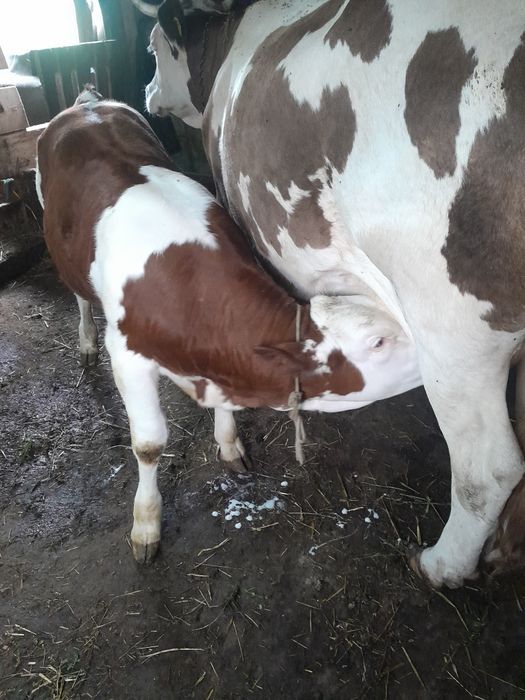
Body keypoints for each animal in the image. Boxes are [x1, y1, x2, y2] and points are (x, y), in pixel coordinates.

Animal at [36, 94, 419, 563]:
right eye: (378, 342)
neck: (193, 292)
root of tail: (88, 101)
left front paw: (229, 444)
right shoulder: (127, 357)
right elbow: (148, 445)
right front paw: (145, 524)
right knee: (80, 297)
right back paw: (86, 340)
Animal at [137, 0, 525, 588]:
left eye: (154, 45)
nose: (145, 89)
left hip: (452, 330)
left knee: (488, 467)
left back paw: (441, 564)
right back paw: (504, 549)